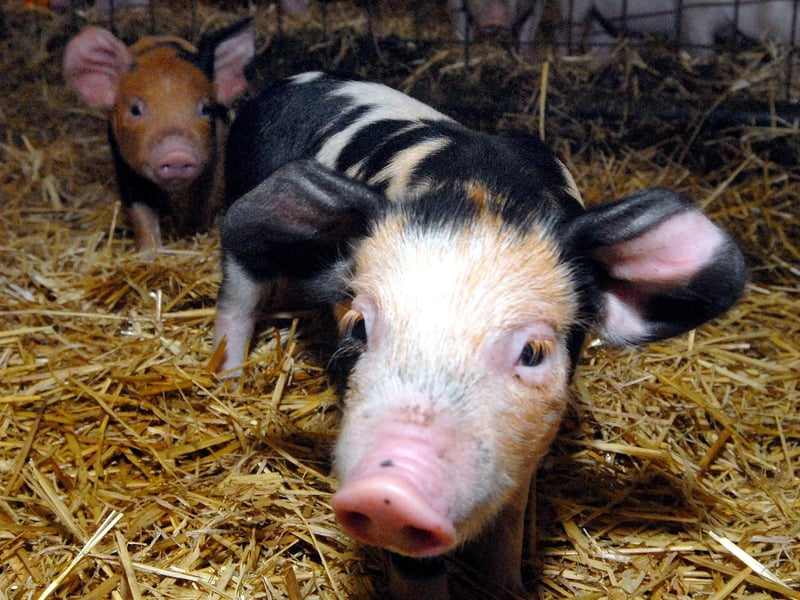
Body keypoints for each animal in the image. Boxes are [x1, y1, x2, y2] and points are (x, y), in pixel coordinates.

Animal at [63, 20, 255, 253]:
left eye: (205, 109)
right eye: (135, 110)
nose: (177, 154)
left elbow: (205, 204)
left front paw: (194, 236)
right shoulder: (124, 166)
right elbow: (141, 213)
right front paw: (148, 253)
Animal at [213, 71, 747, 597]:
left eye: (533, 352)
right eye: (360, 326)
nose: (390, 491)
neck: (483, 192)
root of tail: (281, 84)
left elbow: (507, 533)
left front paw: (510, 588)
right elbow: (417, 569)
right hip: (240, 218)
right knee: (237, 298)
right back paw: (228, 379)